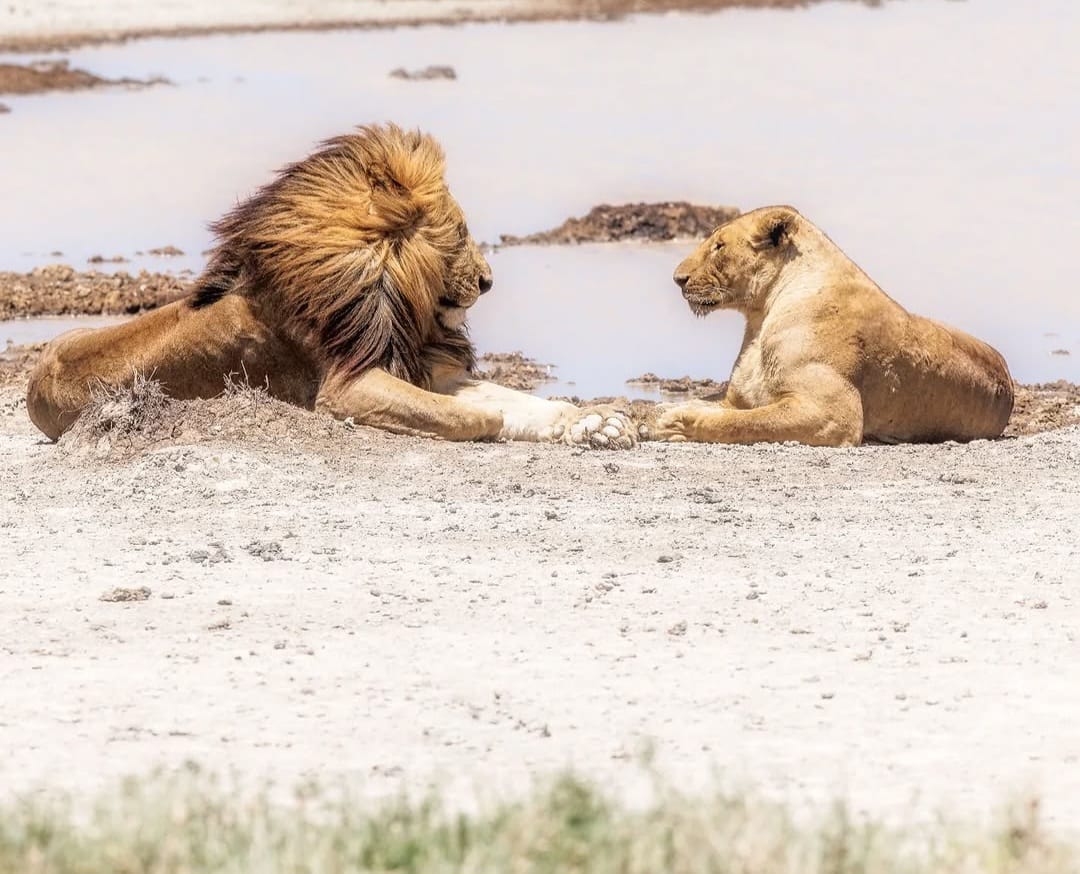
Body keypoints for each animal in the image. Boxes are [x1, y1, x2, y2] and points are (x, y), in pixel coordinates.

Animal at [26, 125, 634, 448]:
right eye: (461, 232)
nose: (488, 281)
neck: (389, 297)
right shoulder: (348, 388)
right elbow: (478, 415)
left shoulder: (419, 368)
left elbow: (525, 400)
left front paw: (596, 422)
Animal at [649, 205, 1013, 446]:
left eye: (719, 246)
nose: (678, 279)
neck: (762, 314)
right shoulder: (737, 398)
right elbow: (718, 408)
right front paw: (659, 413)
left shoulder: (834, 414)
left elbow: (744, 423)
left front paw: (676, 424)